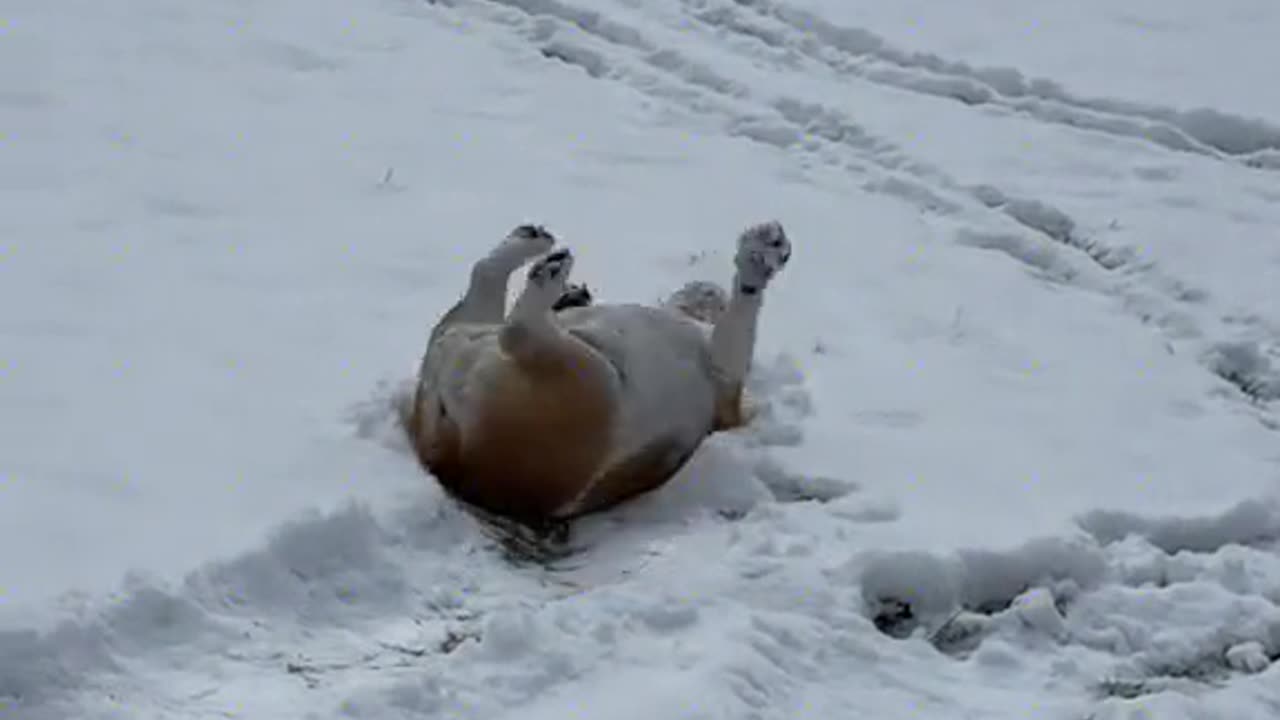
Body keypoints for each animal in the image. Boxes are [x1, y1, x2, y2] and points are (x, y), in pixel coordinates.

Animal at [409, 220, 788, 520]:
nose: (704, 286)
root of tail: (453, 457)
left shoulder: (724, 372)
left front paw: (757, 263)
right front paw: (761, 256)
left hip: (580, 378)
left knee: (511, 318)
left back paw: (543, 264)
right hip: (576, 372)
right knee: (506, 310)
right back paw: (542, 260)